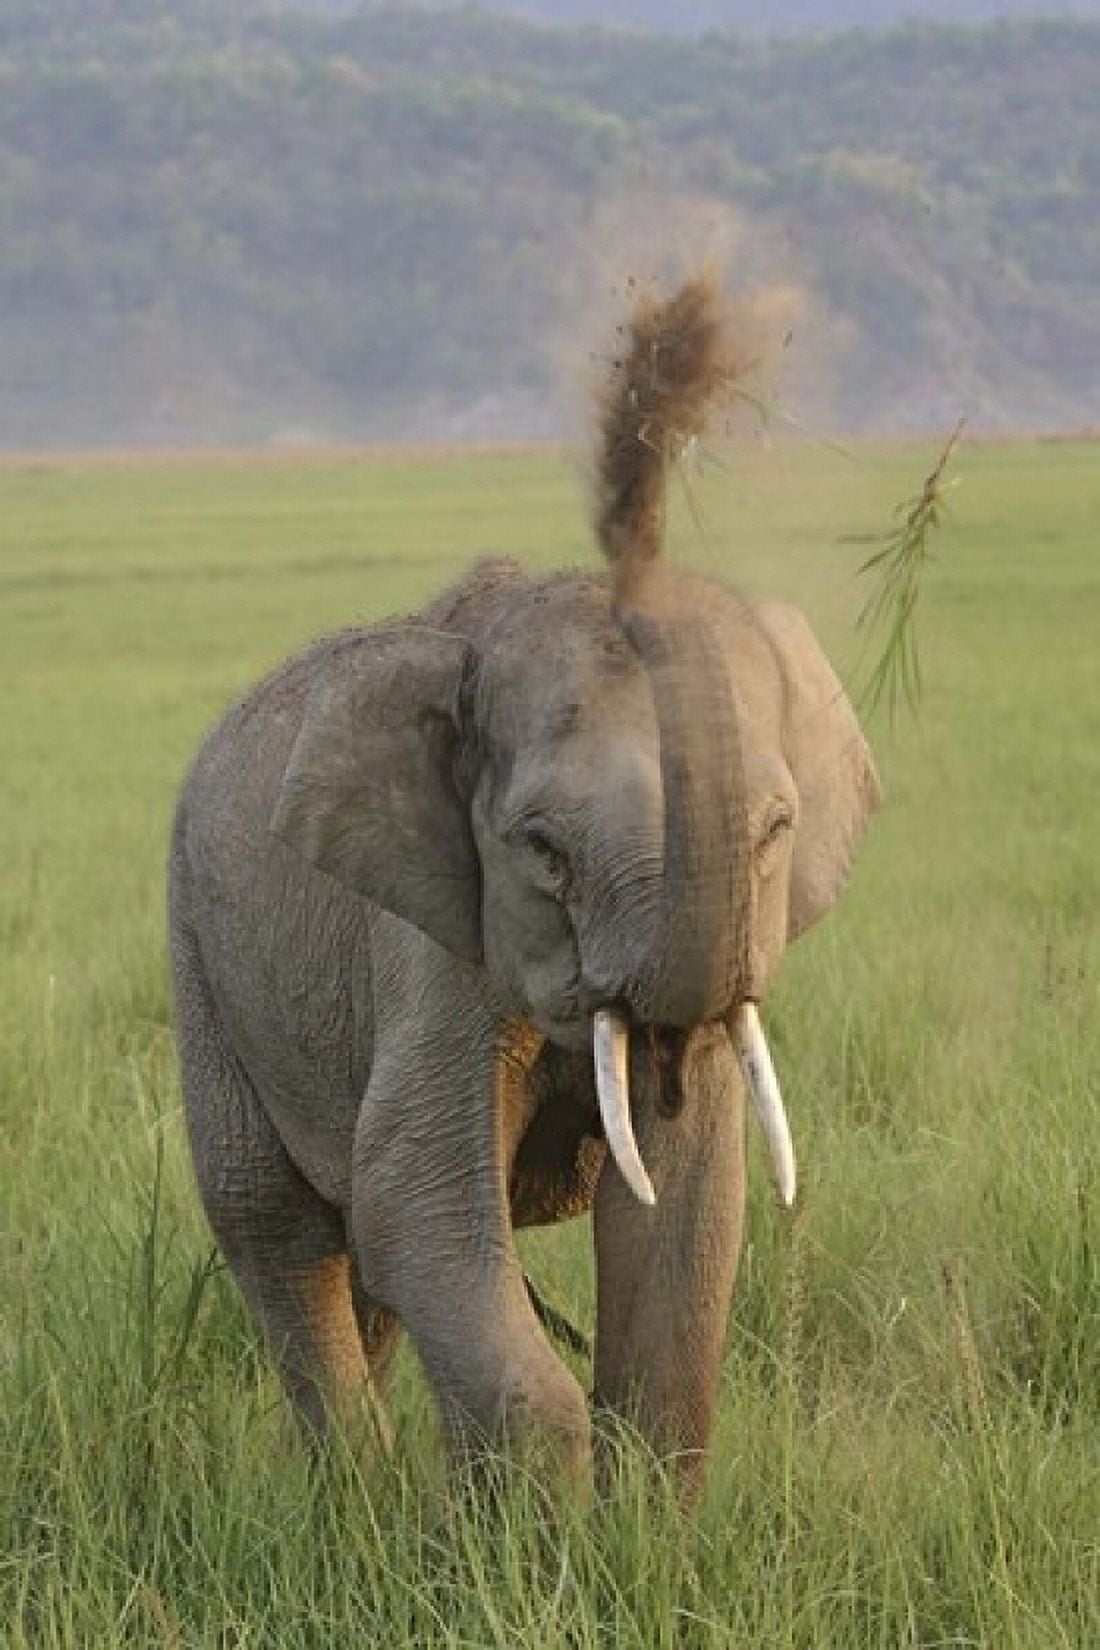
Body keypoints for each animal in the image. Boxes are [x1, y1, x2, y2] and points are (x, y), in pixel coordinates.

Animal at [168, 274, 880, 1498]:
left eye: (776, 831)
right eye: (541, 849)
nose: (660, 398)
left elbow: (688, 1200)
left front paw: (640, 1529)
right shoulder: (434, 945)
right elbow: (415, 1190)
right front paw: (531, 1529)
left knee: (359, 1262)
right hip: (199, 957)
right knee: (281, 1223)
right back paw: (352, 1503)